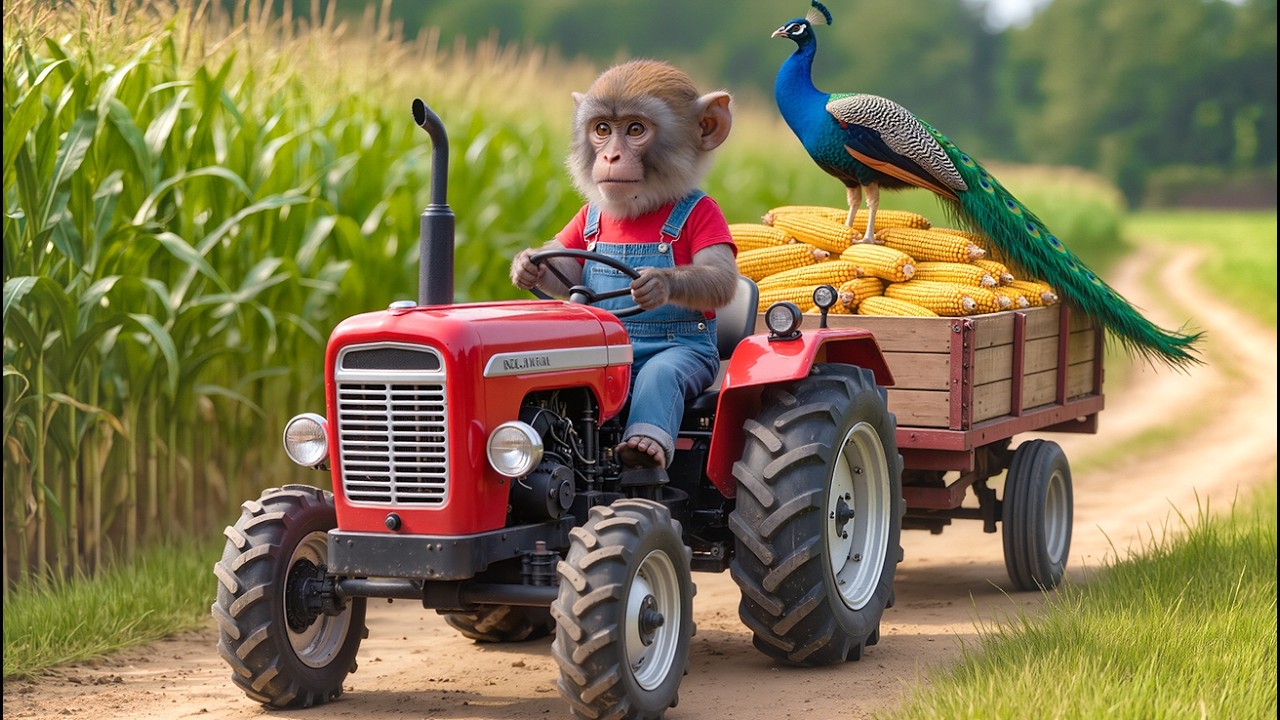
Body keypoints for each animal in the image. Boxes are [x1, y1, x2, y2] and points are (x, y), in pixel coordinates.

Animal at [510, 59, 739, 470]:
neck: (640, 210)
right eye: (602, 130)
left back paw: (643, 447)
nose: (611, 157)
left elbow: (720, 276)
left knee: (663, 377)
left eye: (636, 130)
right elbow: (567, 264)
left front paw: (656, 283)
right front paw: (524, 265)